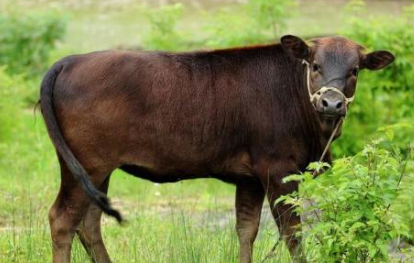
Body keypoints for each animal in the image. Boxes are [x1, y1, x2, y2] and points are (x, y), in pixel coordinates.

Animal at [39, 35, 394, 263]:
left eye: (355, 70)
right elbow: (293, 236)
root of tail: (72, 60)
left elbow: (246, 230)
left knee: (89, 223)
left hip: (96, 171)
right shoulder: (278, 169)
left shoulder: (250, 178)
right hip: (87, 163)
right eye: (315, 65)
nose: (331, 103)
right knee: (63, 220)